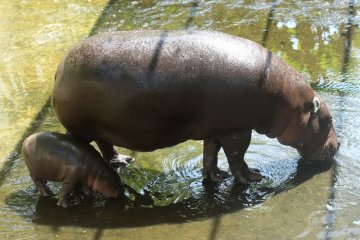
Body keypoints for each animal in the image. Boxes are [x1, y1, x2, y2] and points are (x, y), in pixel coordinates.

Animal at [52, 30, 338, 184]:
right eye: (328, 120)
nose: (337, 145)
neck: (286, 101)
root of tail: (60, 67)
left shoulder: (216, 128)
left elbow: (211, 152)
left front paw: (216, 177)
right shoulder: (237, 130)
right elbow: (238, 156)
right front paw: (253, 177)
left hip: (101, 128)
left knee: (105, 144)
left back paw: (123, 160)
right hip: (79, 128)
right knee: (80, 146)